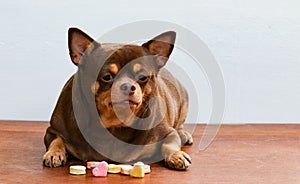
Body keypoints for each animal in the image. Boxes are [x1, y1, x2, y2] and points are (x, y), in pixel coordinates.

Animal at [42, 27, 192, 170]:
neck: (114, 124)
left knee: (179, 125)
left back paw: (183, 134)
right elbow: (57, 140)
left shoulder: (168, 133)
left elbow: (169, 144)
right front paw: (54, 153)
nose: (128, 86)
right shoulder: (53, 131)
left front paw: (176, 155)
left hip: (183, 100)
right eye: (107, 77)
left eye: (143, 77)